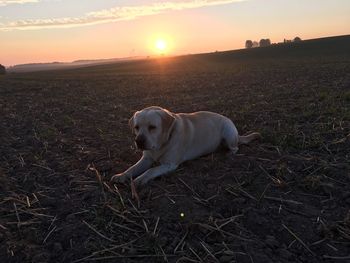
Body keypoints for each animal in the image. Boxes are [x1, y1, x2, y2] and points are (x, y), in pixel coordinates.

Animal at [110, 105, 262, 186]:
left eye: (152, 127)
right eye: (136, 127)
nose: (139, 141)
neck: (161, 144)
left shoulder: (170, 164)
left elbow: (150, 171)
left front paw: (140, 179)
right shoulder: (146, 159)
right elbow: (132, 168)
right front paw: (122, 175)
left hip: (228, 132)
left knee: (235, 148)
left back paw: (228, 154)